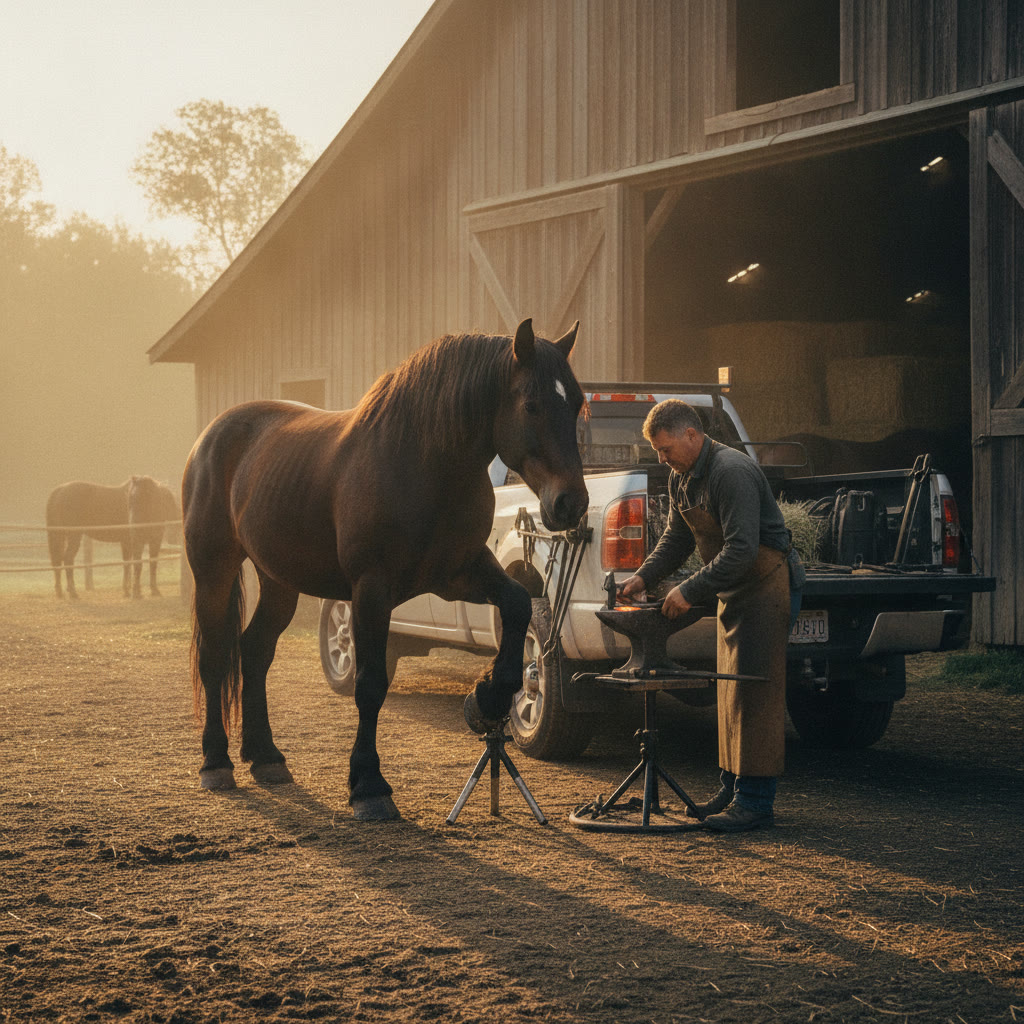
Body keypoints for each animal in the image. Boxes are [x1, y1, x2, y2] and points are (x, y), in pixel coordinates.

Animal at [46, 476, 180, 599]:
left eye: (145, 498)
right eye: (130, 499)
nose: (131, 524)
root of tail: (60, 489)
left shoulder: (150, 541)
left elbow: (142, 564)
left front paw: (142, 590)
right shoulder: (137, 541)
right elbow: (136, 564)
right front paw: (136, 592)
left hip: (61, 536)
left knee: (58, 561)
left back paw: (61, 592)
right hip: (73, 535)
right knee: (67, 559)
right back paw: (73, 592)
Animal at [182, 319, 588, 820]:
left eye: (577, 402)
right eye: (531, 404)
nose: (570, 503)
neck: (421, 463)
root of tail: (210, 436)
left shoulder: (461, 574)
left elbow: (515, 604)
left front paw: (487, 697)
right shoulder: (371, 591)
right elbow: (370, 685)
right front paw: (368, 786)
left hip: (278, 581)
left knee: (254, 652)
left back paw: (267, 758)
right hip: (213, 570)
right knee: (215, 657)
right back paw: (215, 762)